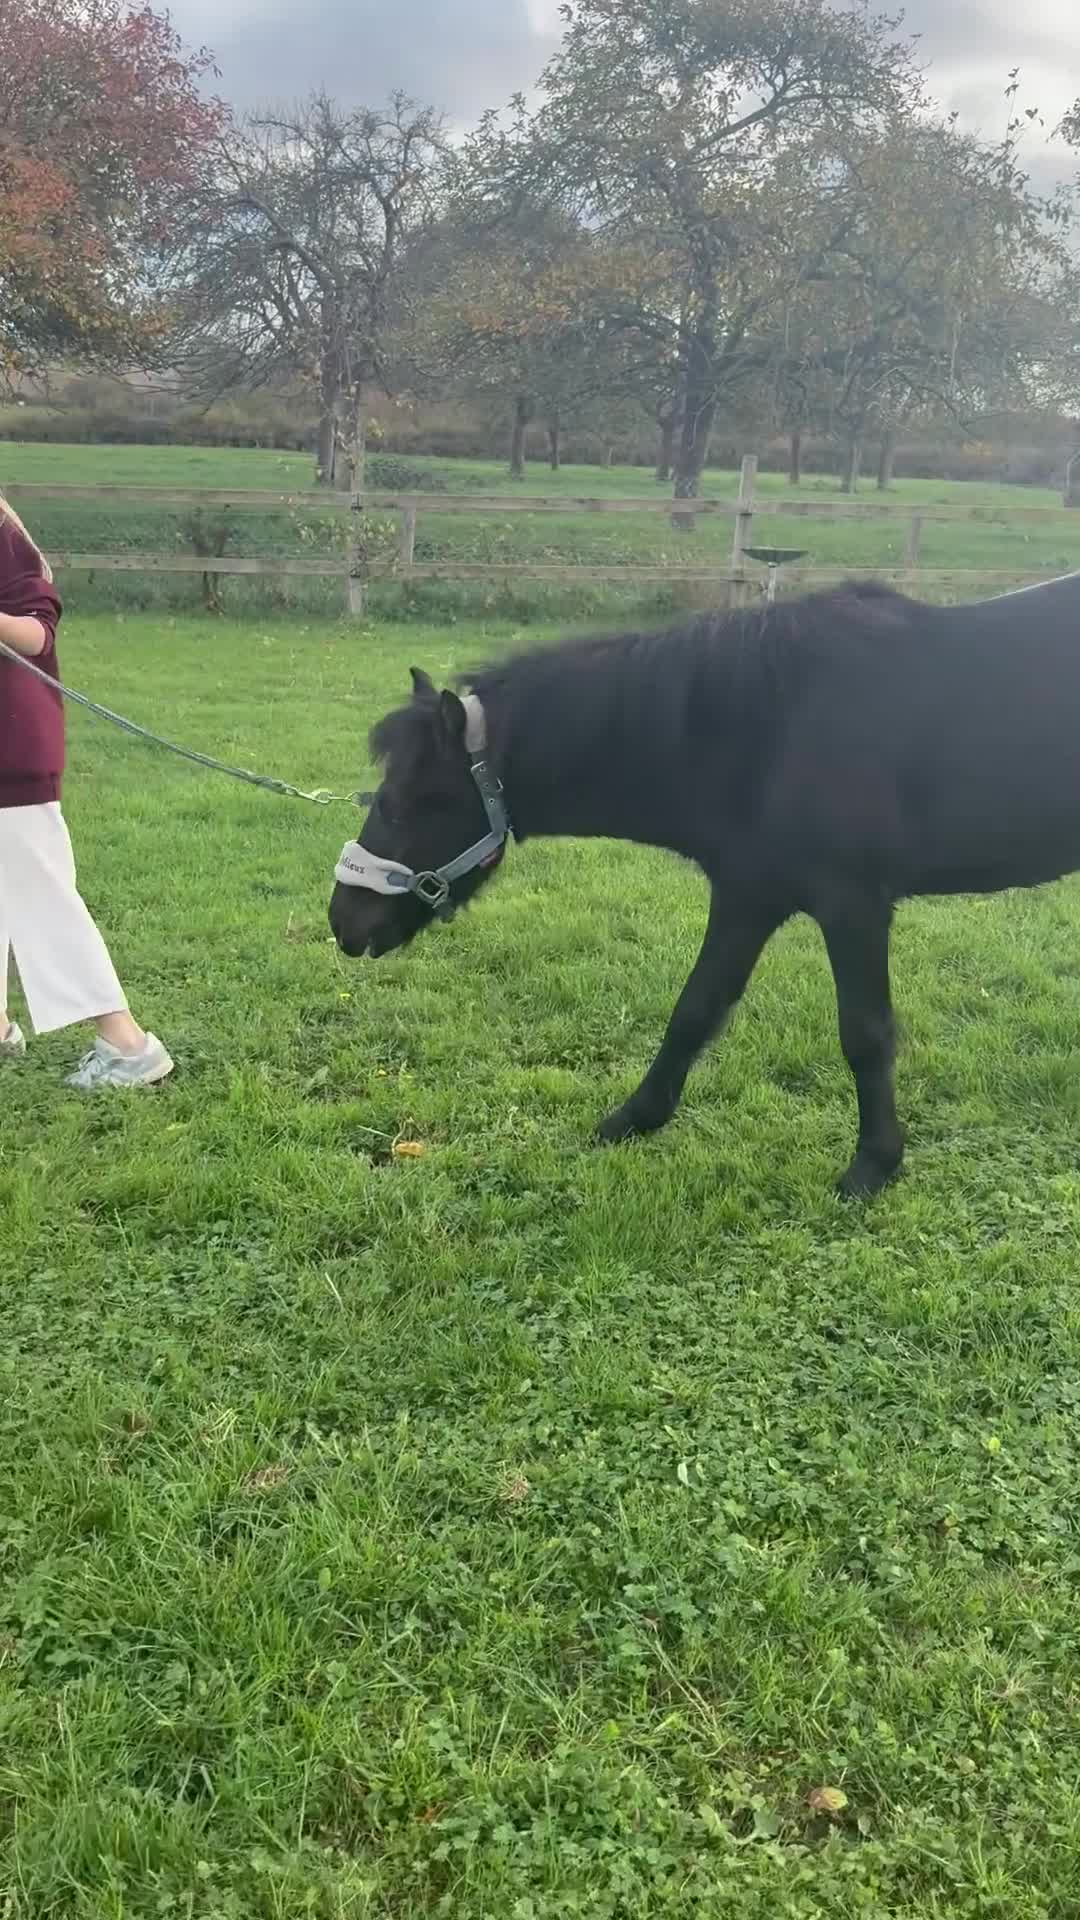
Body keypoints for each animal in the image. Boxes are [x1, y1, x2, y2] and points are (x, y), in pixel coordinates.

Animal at [329, 569, 1080, 1196]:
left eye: (408, 802)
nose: (344, 920)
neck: (768, 727)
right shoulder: (748, 896)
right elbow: (694, 1010)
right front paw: (633, 1118)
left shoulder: (853, 905)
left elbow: (864, 1034)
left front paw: (873, 1164)